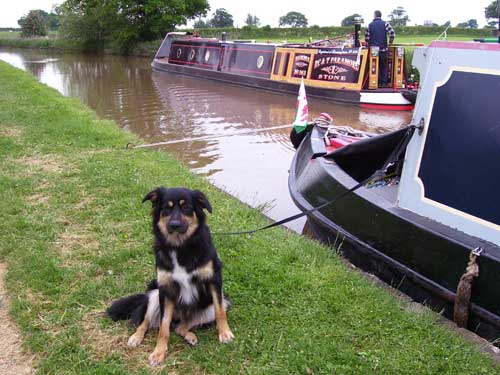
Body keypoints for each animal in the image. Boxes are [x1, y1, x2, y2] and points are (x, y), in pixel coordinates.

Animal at [108, 188, 233, 368]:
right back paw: (136, 337)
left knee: (180, 327)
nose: (174, 225)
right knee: (147, 321)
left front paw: (225, 333)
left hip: (215, 304)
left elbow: (219, 310)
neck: (180, 246)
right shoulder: (166, 289)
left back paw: (190, 336)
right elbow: (163, 326)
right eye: (166, 208)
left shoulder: (214, 279)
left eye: (186, 207)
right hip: (154, 293)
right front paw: (159, 352)